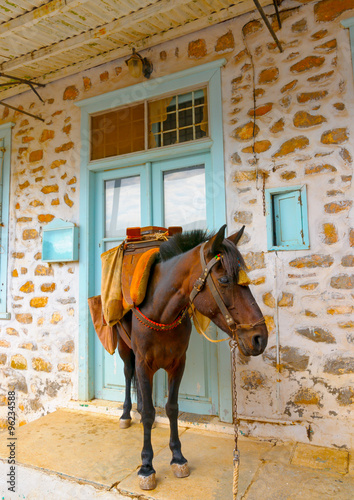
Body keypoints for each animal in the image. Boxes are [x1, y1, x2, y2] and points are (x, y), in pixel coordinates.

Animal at [116, 225, 268, 490]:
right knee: (127, 374)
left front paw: (177, 457)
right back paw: (126, 414)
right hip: (125, 349)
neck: (161, 311)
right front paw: (146, 466)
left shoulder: (178, 364)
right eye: (225, 280)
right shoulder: (144, 363)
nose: (260, 338)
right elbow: (148, 414)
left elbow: (171, 408)